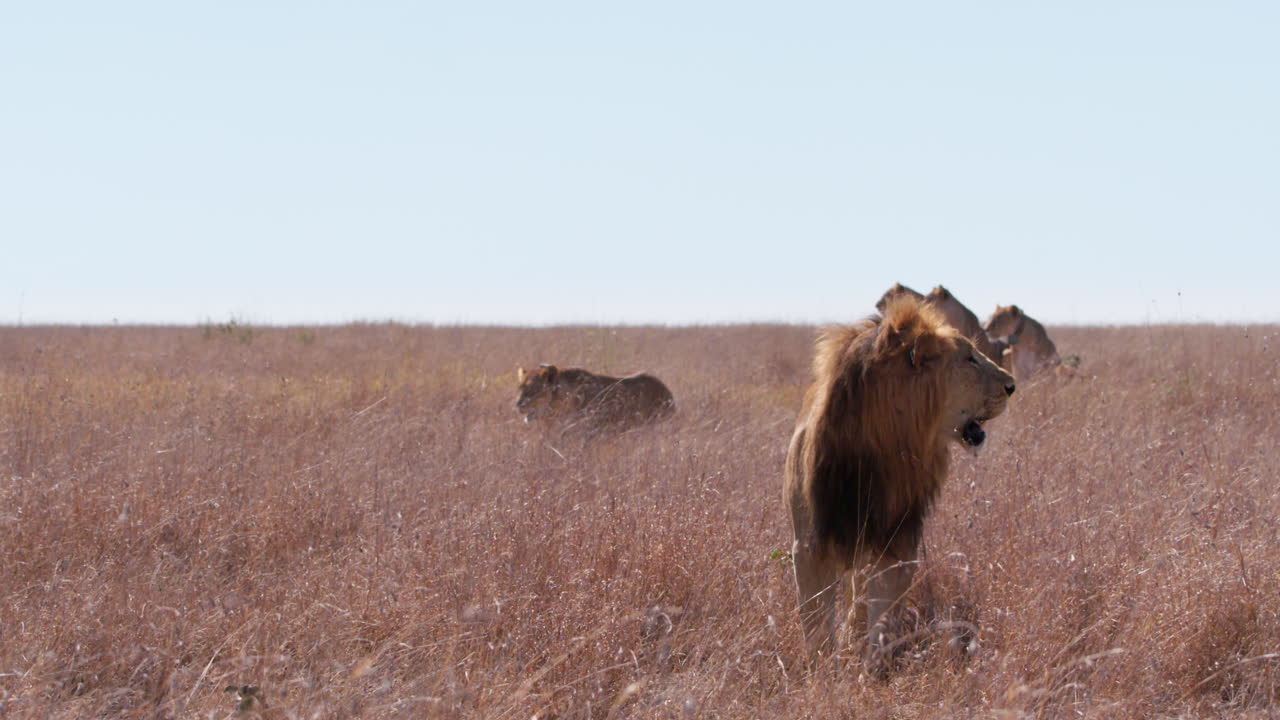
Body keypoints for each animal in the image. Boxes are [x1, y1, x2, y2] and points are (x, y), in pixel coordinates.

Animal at [783, 296, 1015, 670]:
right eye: (969, 358)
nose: (1012, 386)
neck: (884, 448)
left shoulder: (896, 542)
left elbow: (881, 618)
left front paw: (869, 669)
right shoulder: (811, 544)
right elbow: (816, 621)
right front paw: (822, 671)